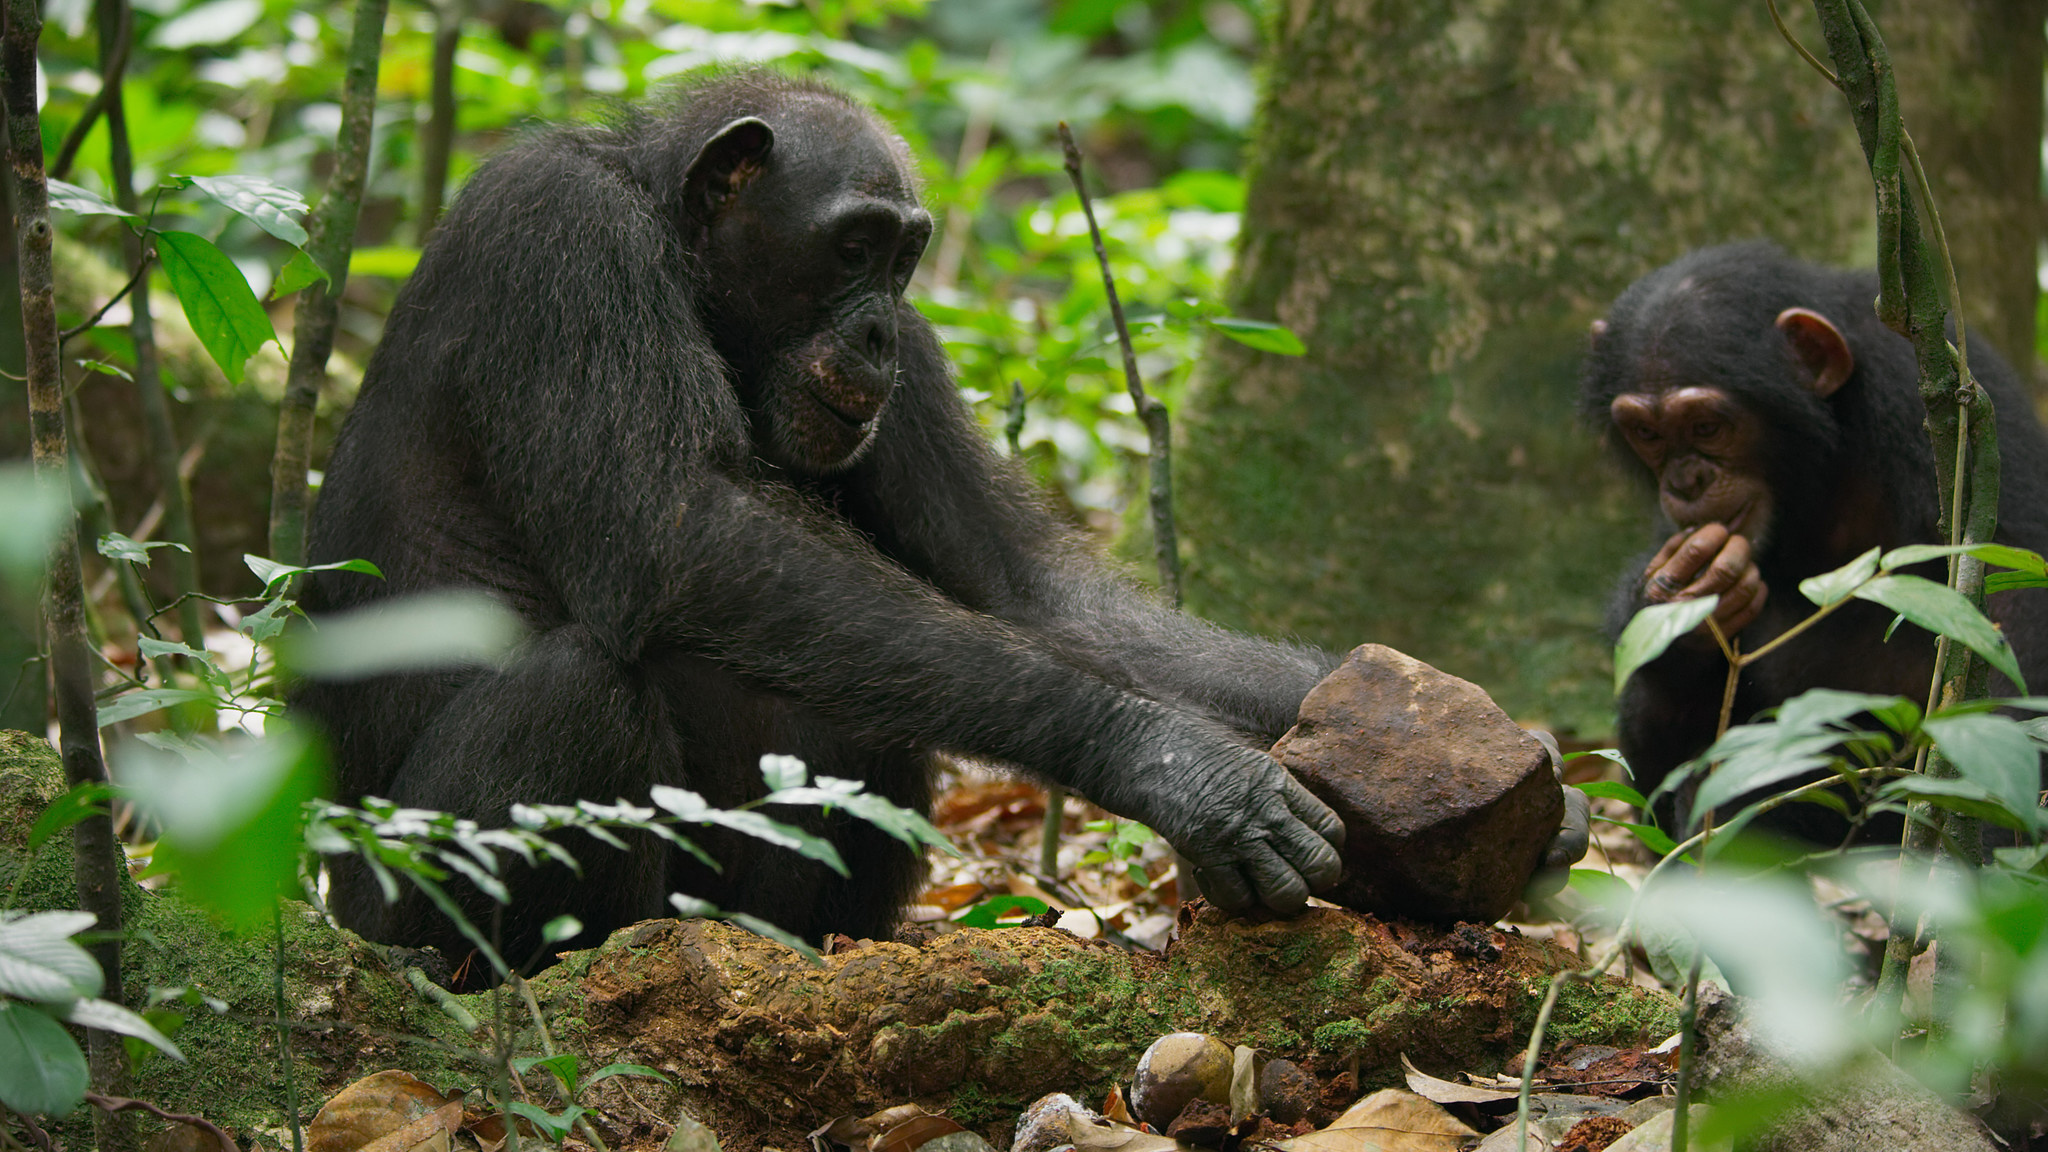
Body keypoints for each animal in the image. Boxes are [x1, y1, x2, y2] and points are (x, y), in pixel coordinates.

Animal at [299, 69, 1540, 967]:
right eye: (852, 244)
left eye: (903, 257)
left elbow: (1030, 593)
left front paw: (1448, 741)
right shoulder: (558, 239)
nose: (879, 329)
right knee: (578, 690)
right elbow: (677, 537)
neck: (687, 268)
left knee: (860, 722)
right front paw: (1174, 764)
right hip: (384, 902)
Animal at [1589, 237, 2048, 840]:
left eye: (1707, 426)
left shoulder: (1944, 409)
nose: (1686, 481)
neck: (1822, 462)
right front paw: (1682, 602)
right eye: (1648, 433)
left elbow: (2006, 598)